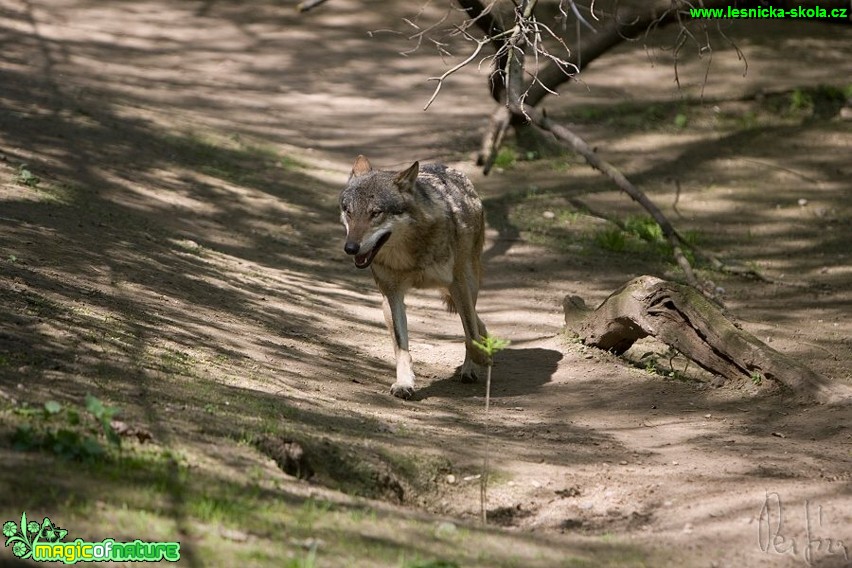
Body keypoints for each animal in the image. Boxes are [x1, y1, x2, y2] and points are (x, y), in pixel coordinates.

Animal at [338, 153, 490, 398]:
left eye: (375, 213)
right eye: (349, 211)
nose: (351, 248)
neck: (409, 256)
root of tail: (450, 169)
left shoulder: (457, 284)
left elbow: (469, 333)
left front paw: (482, 357)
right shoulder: (391, 296)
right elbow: (401, 346)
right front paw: (404, 383)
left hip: (468, 282)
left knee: (473, 324)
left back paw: (470, 367)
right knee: (478, 323)